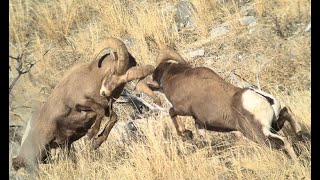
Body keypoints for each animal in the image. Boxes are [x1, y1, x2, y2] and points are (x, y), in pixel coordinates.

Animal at [13, 37, 156, 172]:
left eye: (123, 82)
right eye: (112, 72)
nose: (105, 92)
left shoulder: (106, 109)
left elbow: (113, 117)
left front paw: (96, 142)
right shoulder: (80, 104)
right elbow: (99, 112)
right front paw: (91, 134)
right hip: (37, 153)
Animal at [141, 46, 304, 159]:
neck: (176, 78)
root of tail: (264, 100)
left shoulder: (182, 109)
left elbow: (171, 113)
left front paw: (185, 134)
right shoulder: (199, 123)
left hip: (258, 134)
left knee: (283, 143)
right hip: (274, 125)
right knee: (286, 113)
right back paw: (300, 134)